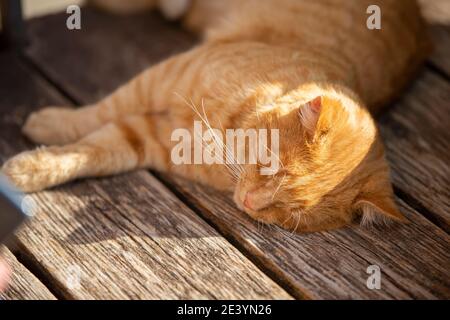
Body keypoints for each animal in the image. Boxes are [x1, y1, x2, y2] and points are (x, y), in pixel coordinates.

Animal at [1, 0, 430, 232]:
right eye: (271, 167)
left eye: (289, 214)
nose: (252, 204)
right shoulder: (157, 80)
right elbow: (95, 115)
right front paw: (46, 127)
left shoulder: (150, 137)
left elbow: (94, 151)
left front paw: (27, 169)